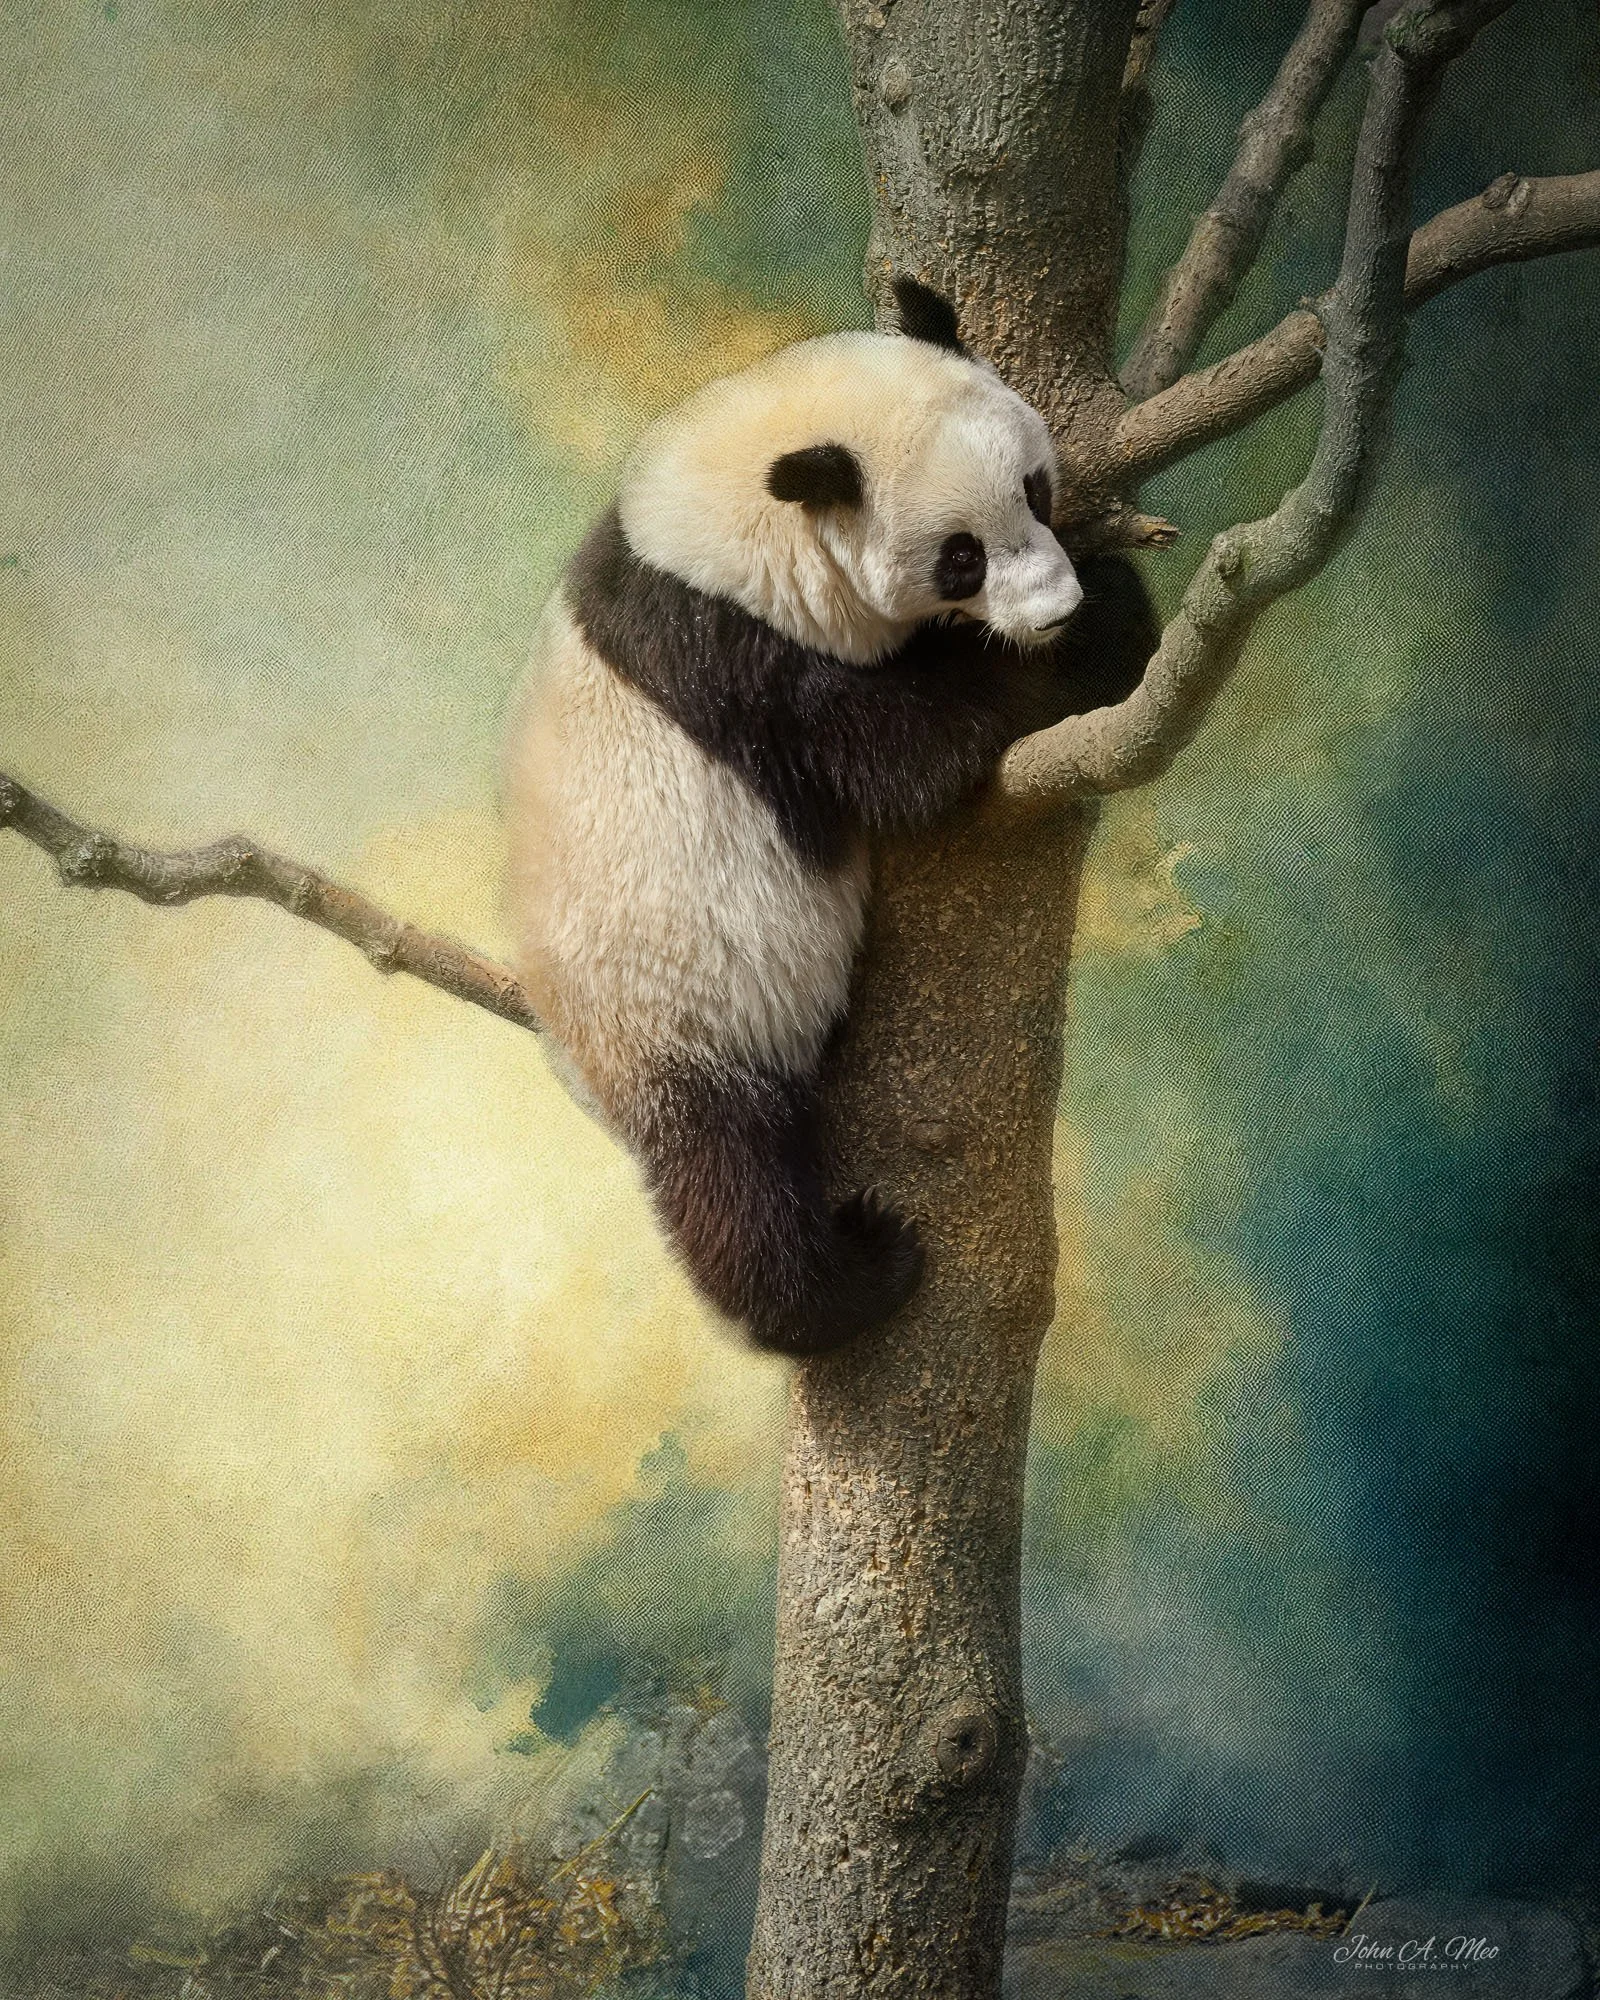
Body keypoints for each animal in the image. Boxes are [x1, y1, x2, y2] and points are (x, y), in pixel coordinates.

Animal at [506, 278, 1157, 1356]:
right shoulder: (739, 654)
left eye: (1034, 489)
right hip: (680, 1010)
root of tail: (585, 1075)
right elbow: (902, 751)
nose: (1054, 607)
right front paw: (1103, 627)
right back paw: (848, 1277)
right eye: (960, 557)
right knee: (732, 1179)